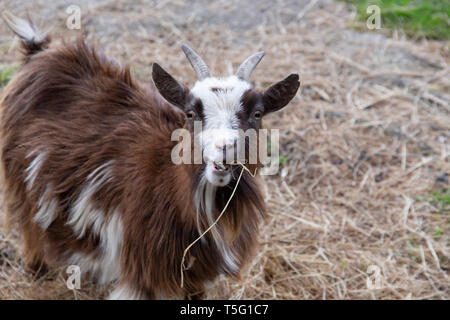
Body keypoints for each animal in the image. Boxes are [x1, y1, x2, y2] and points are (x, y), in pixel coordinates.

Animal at [1, 13, 300, 300]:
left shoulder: (195, 272)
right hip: (20, 183)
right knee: (29, 227)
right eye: (190, 113)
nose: (224, 147)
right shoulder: (142, 269)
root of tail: (40, 53)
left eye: (257, 113)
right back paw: (37, 271)